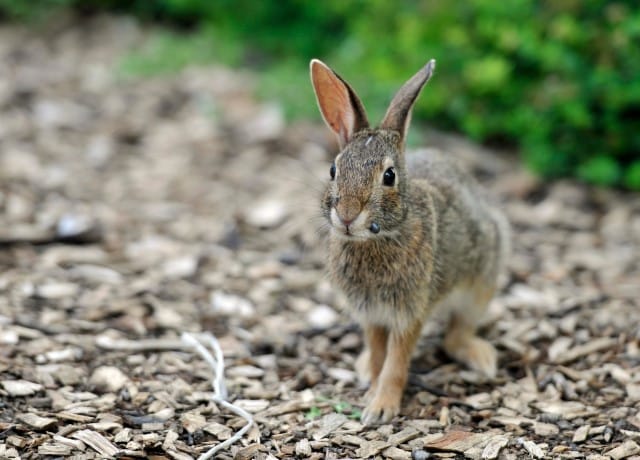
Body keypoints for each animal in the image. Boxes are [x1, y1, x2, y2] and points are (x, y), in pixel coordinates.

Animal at [310, 57, 510, 424]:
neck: (378, 239)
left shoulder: (410, 310)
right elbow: (379, 355)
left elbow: (396, 361)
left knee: (456, 336)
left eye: (389, 176)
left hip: (481, 283)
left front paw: (381, 408)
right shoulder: (371, 314)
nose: (346, 215)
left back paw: (483, 358)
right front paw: (372, 392)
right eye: (333, 170)